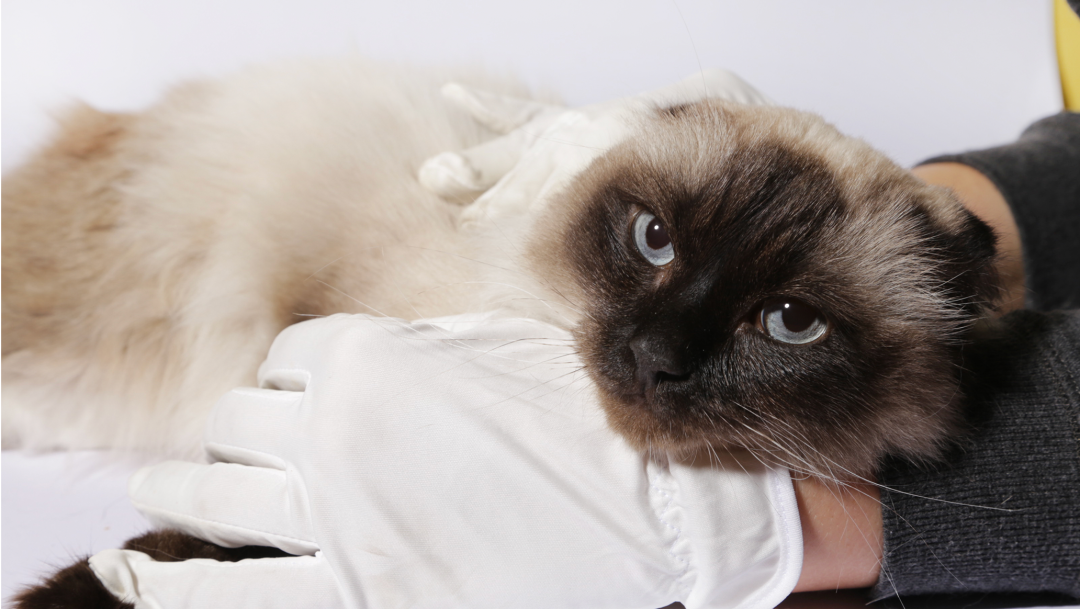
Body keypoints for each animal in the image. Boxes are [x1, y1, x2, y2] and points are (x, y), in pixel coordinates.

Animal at [4, 54, 997, 604]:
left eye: (790, 322)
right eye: (655, 240)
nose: (657, 357)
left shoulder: (301, 479)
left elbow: (233, 552)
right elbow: (195, 537)